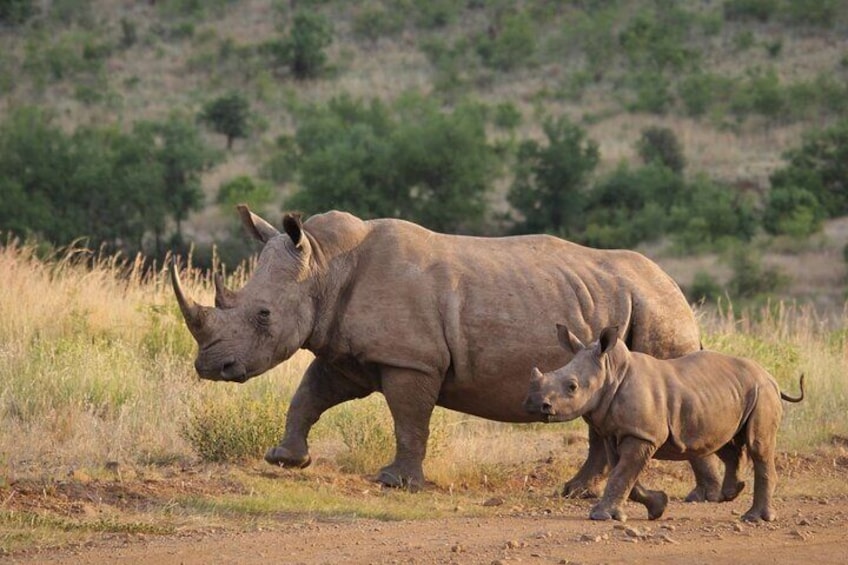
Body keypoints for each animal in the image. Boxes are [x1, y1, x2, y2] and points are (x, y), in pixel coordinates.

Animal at [172, 206, 724, 498]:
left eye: (263, 315)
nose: (210, 367)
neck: (325, 266)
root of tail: (676, 288)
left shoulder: (410, 359)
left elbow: (409, 419)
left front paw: (396, 483)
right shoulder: (345, 353)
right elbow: (309, 395)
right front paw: (285, 459)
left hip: (656, 312)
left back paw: (701, 496)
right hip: (621, 309)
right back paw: (577, 492)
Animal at [524, 324, 800, 524]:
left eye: (572, 387)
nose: (535, 404)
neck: (611, 372)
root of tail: (769, 376)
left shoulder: (642, 434)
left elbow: (622, 474)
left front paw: (600, 516)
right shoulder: (617, 432)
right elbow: (624, 474)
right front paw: (657, 507)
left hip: (762, 392)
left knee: (757, 446)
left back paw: (754, 518)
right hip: (730, 394)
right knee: (723, 441)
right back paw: (731, 493)